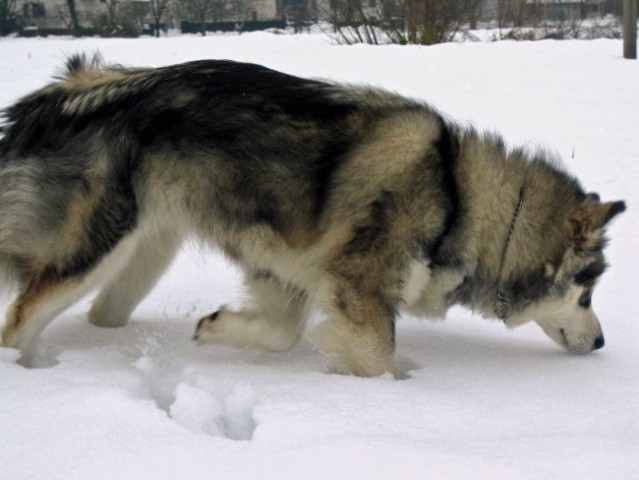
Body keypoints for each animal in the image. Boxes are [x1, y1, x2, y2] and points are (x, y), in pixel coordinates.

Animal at [0, 56, 628, 376]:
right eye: (587, 294)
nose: (601, 343)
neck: (460, 198)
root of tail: (70, 90)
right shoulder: (360, 289)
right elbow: (377, 360)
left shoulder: (283, 267)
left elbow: (281, 333)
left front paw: (221, 329)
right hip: (91, 253)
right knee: (18, 322)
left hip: (141, 256)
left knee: (98, 314)